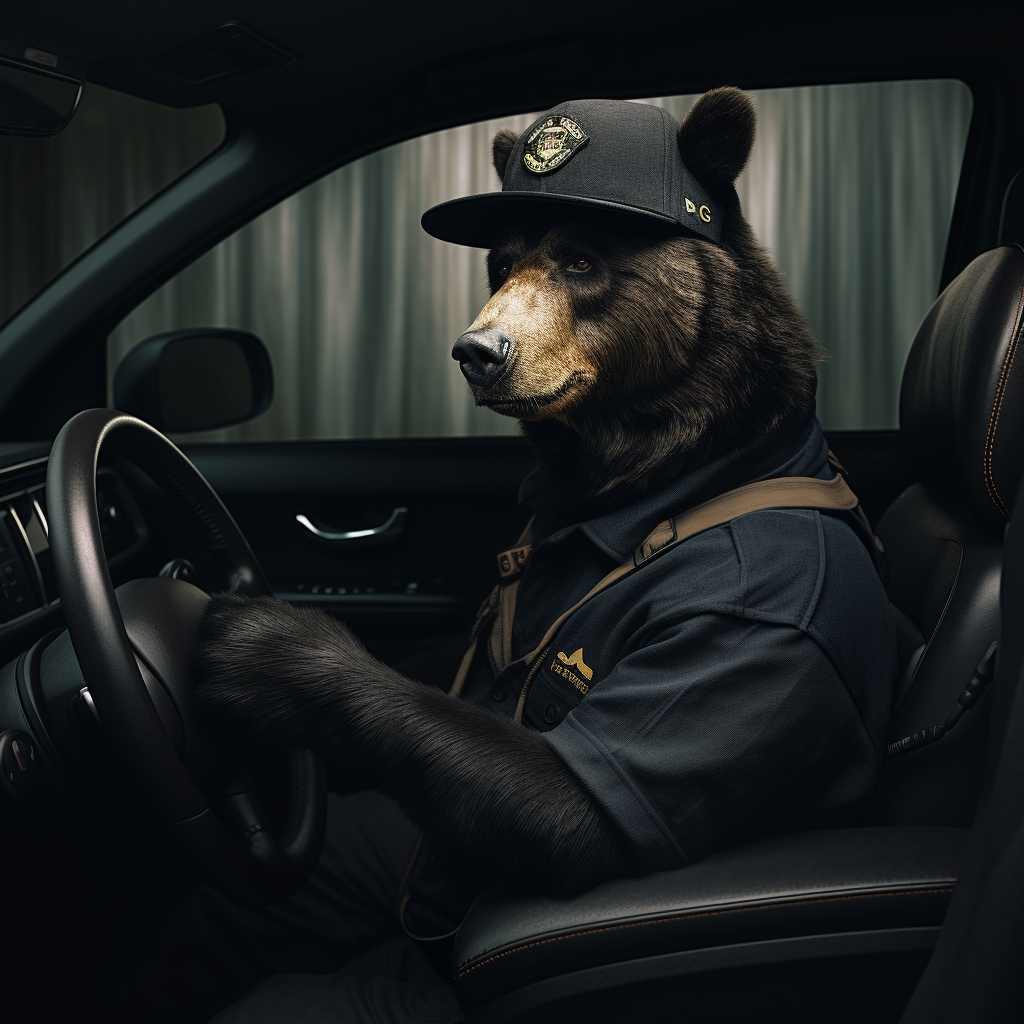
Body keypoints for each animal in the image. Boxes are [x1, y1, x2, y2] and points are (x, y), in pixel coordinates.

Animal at [190, 86, 897, 1015]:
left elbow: (569, 807)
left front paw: (261, 647)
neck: (653, 468)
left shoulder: (759, 619)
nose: (479, 351)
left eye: (582, 260)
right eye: (500, 262)